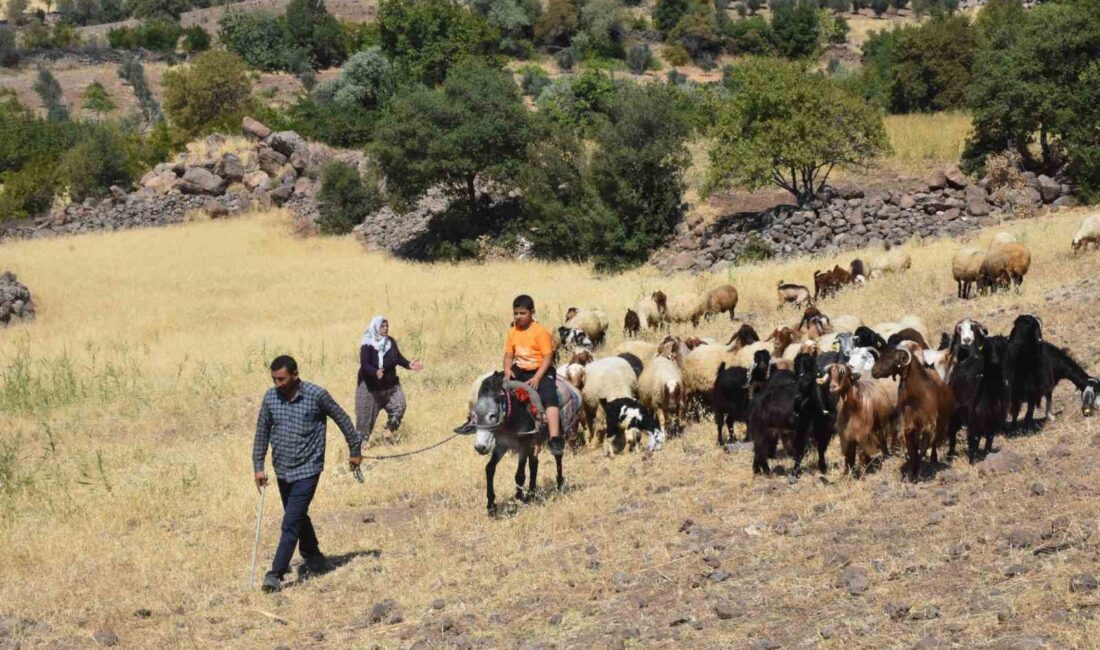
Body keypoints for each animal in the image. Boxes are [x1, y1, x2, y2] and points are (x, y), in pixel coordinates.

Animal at [875, 343, 954, 481]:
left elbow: (922, 449)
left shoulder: (928, 426)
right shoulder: (909, 426)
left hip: (940, 423)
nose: (873, 371)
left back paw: (934, 459)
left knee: (934, 443)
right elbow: (912, 449)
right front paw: (911, 473)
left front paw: (917, 473)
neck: (916, 395)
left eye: (891, 356)